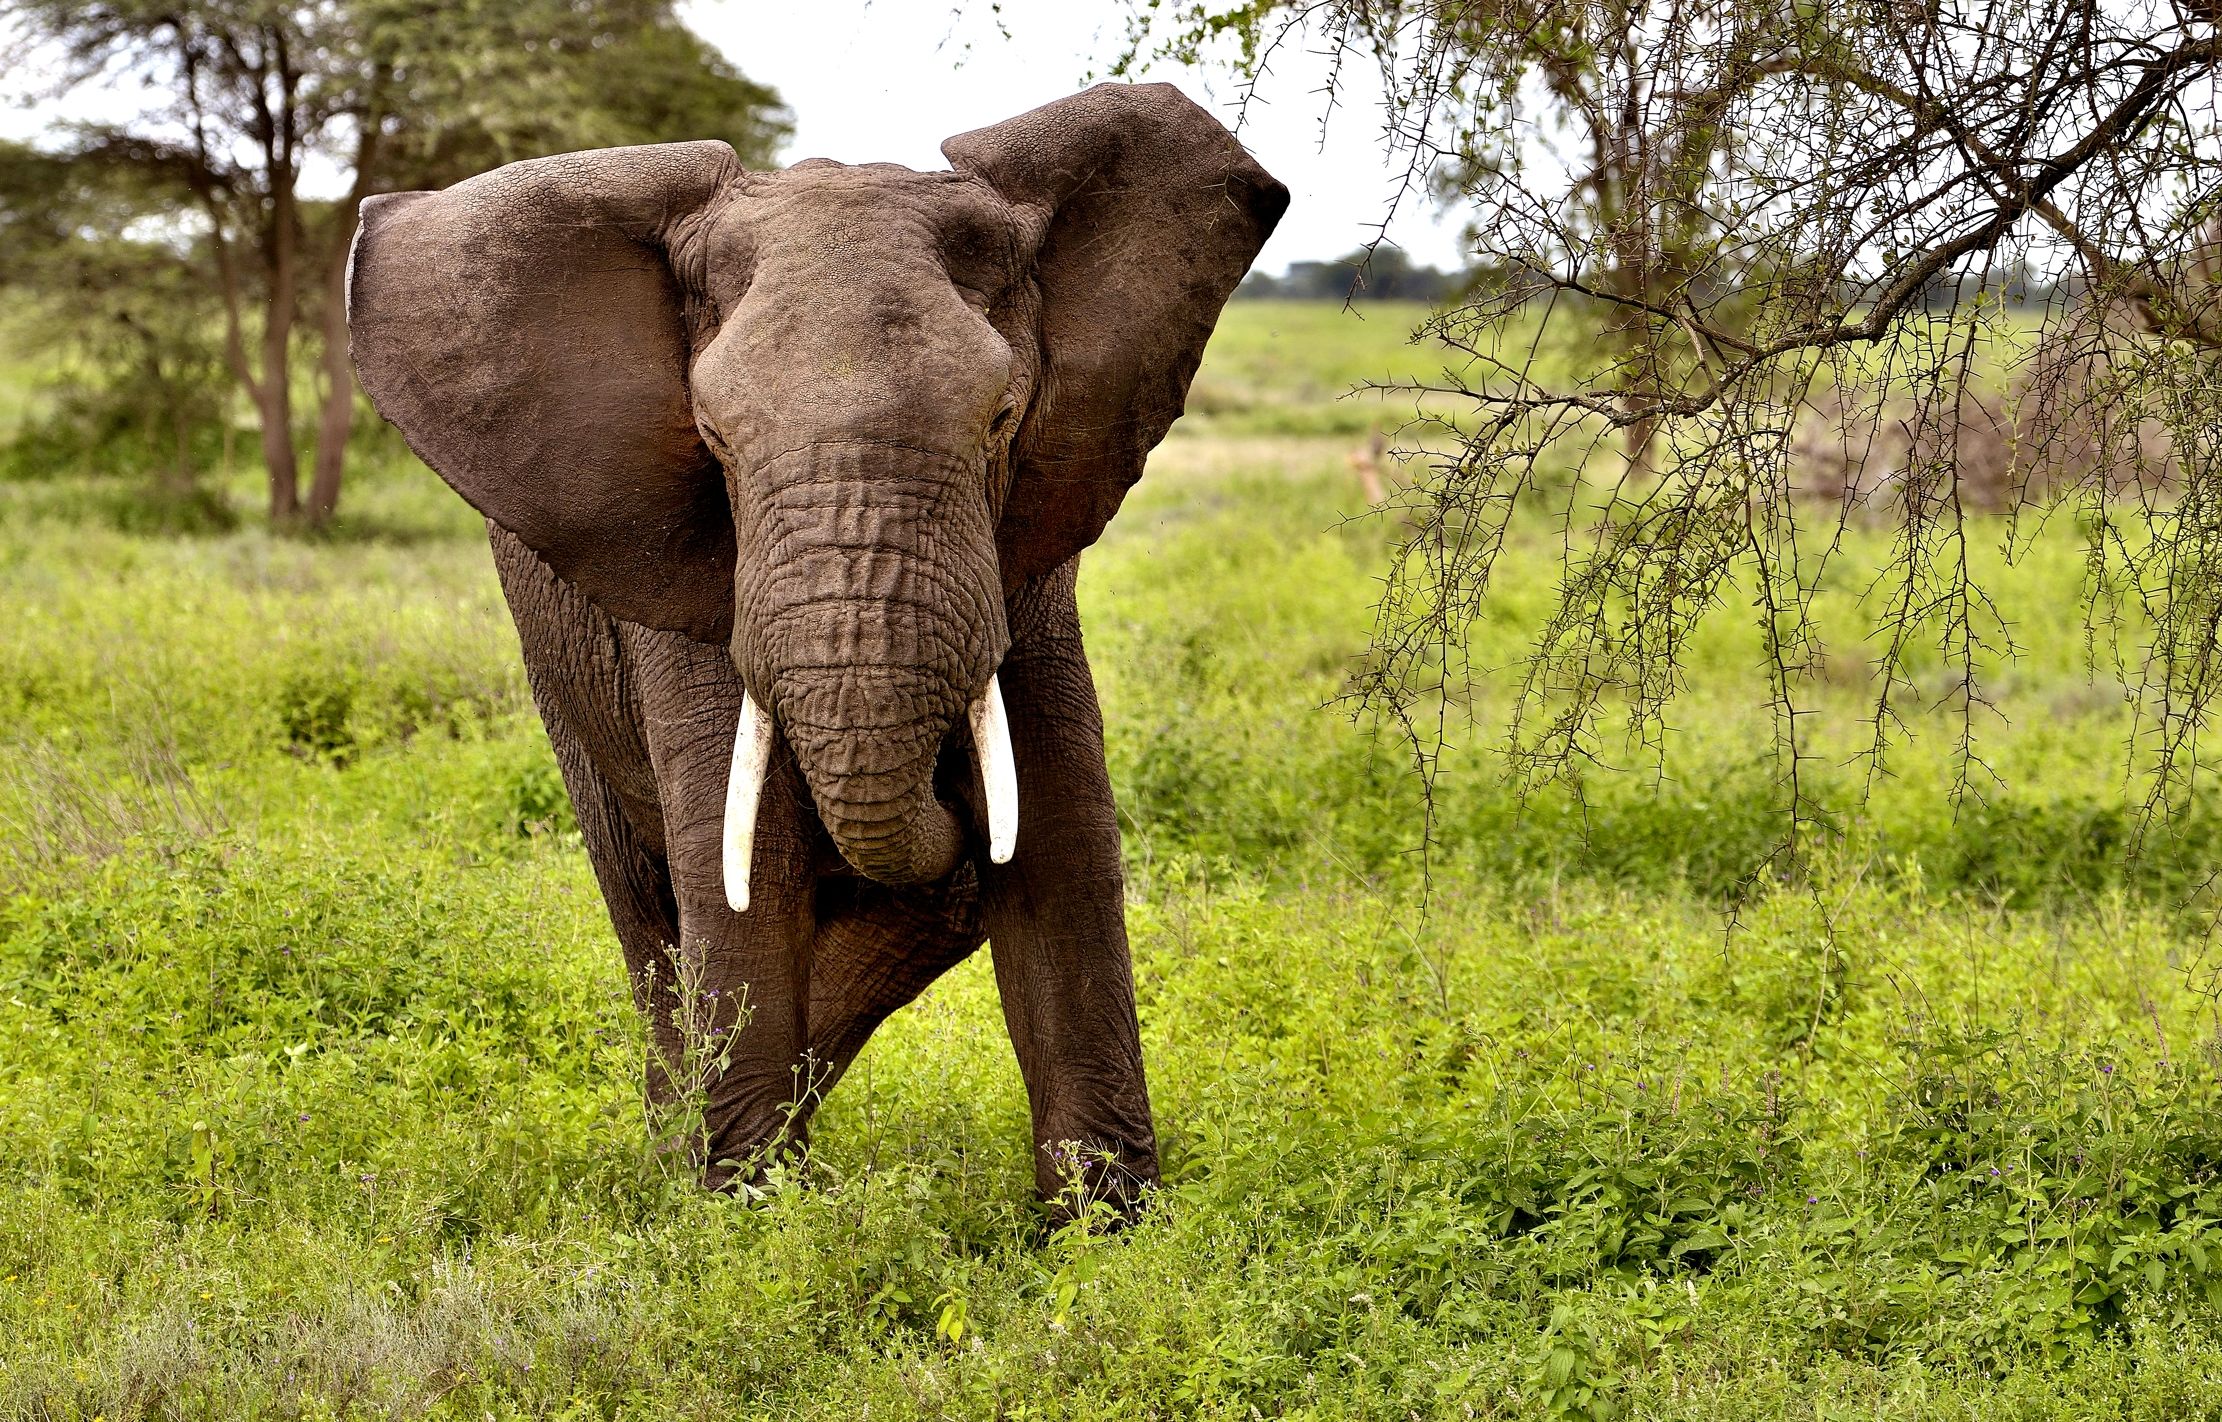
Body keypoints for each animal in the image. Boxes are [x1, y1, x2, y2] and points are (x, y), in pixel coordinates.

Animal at [346, 82, 1287, 1214]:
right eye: (710, 438)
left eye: (1001, 420)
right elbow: (747, 865)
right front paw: (745, 1217)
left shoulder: (1028, 555)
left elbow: (1059, 840)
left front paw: (1109, 1232)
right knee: (643, 903)